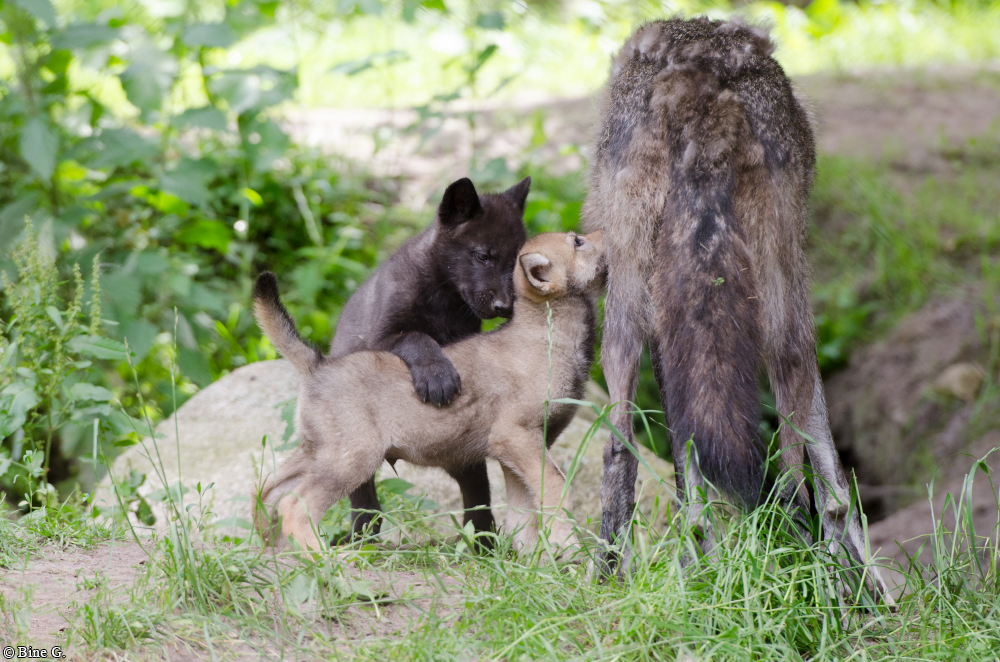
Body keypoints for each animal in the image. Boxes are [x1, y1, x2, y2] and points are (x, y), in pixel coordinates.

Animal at [253, 231, 604, 552]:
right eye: (577, 241)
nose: (606, 236)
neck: (546, 334)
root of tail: (318, 365)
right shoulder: (514, 436)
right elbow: (555, 488)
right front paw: (567, 550)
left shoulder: (521, 451)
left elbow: (525, 510)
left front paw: (532, 561)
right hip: (351, 460)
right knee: (294, 506)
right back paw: (323, 559)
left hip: (319, 453)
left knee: (268, 491)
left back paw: (273, 553)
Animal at [329, 177, 529, 539]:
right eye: (483, 256)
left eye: (514, 262)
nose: (505, 307)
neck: (445, 299)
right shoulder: (385, 336)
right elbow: (419, 338)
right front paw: (438, 377)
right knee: (364, 501)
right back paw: (361, 537)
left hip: (464, 460)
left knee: (477, 500)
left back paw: (483, 543)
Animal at [582, 18, 892, 603]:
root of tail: (698, 75)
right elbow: (831, 474)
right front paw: (861, 587)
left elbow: (683, 461)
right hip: (784, 302)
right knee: (794, 474)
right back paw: (809, 582)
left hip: (627, 310)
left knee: (622, 449)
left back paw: (620, 579)